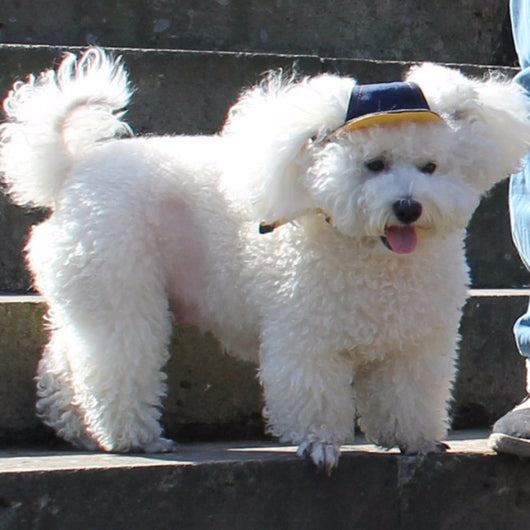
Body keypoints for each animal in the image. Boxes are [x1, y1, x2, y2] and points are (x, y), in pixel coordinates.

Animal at [1, 48, 529, 471]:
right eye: (373, 165)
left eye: (430, 167)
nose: (408, 207)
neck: (373, 256)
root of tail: (74, 167)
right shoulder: (305, 334)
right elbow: (313, 395)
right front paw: (320, 445)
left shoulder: (415, 341)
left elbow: (408, 395)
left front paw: (415, 442)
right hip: (120, 279)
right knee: (116, 359)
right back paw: (133, 437)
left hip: (89, 282)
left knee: (70, 359)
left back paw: (77, 429)